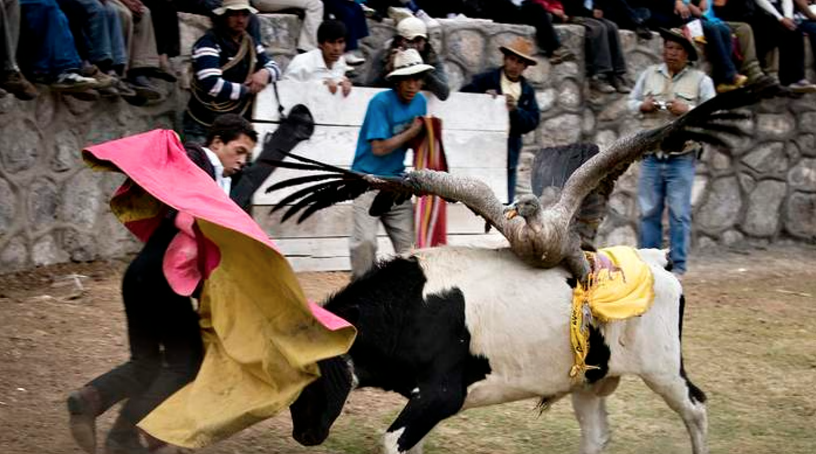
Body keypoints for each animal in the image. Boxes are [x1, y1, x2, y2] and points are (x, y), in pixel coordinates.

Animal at [289, 247, 708, 454]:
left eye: (311, 377)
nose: (303, 434)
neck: (410, 308)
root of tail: (655, 260)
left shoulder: (442, 394)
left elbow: (392, 441)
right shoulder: (423, 401)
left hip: (664, 370)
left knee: (697, 409)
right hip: (588, 382)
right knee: (595, 437)